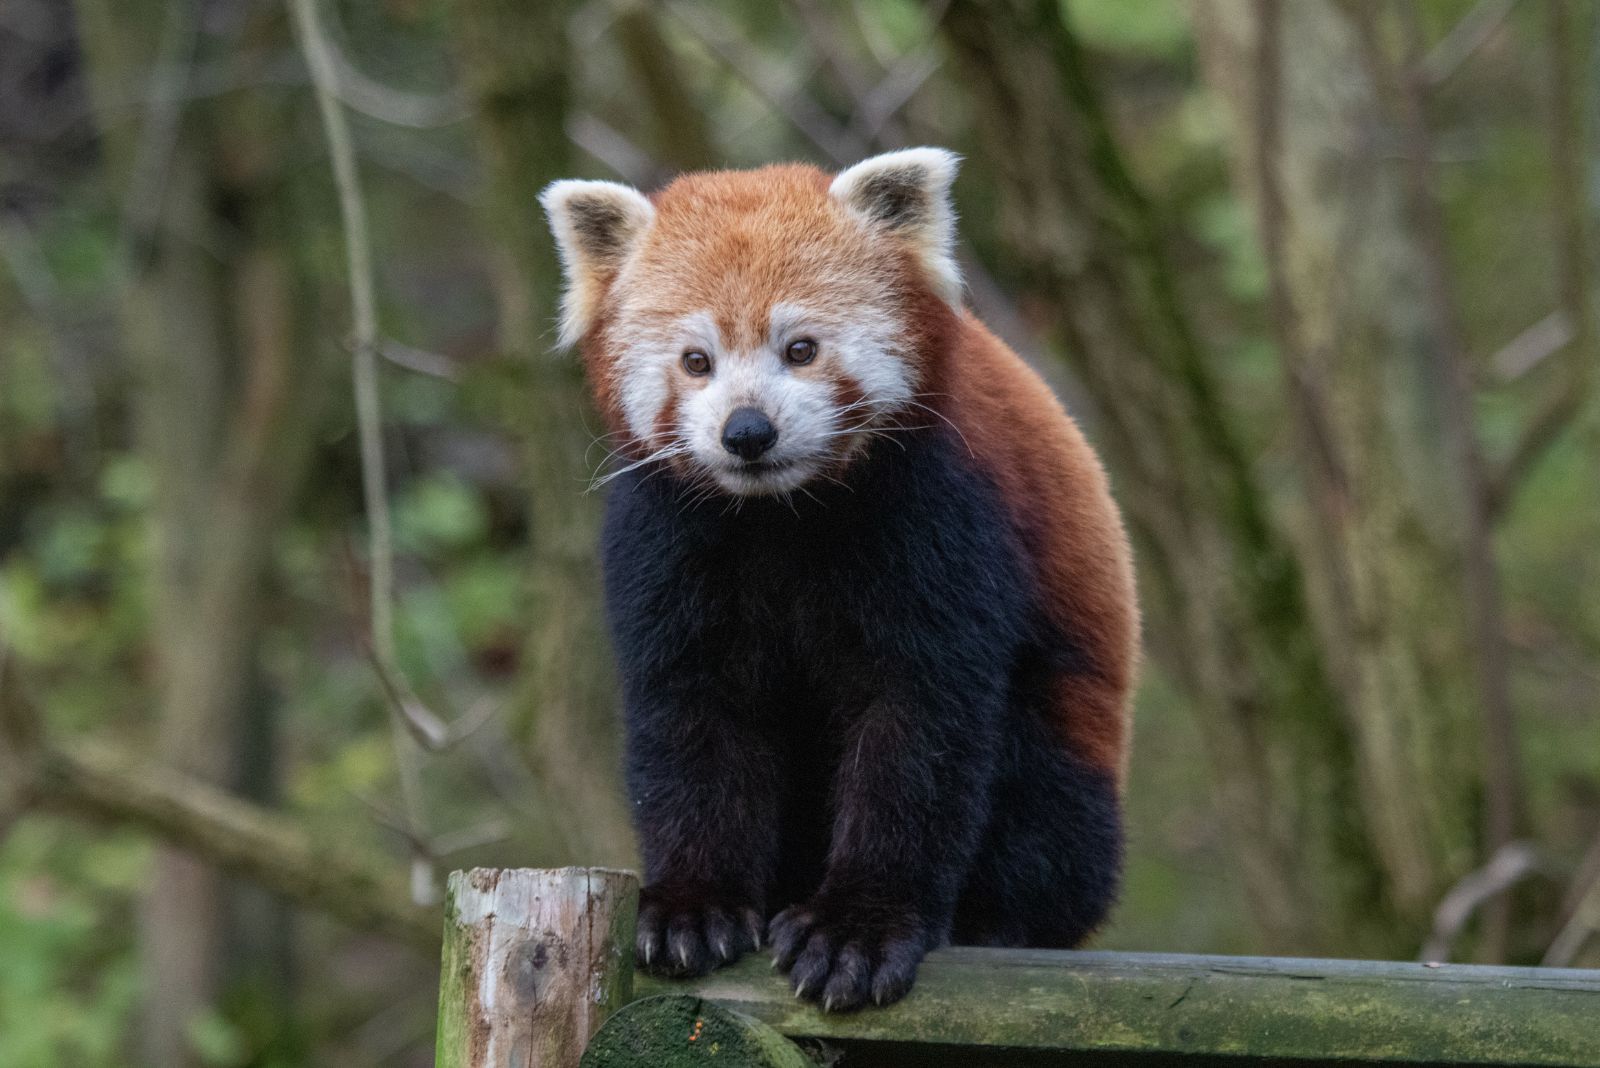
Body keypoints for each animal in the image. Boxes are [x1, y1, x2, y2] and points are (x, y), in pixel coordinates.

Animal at [547, 147, 1139, 1010]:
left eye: (801, 349)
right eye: (696, 361)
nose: (747, 431)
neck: (782, 517)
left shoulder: (942, 517)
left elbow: (918, 728)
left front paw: (858, 928)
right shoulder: (665, 541)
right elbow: (693, 718)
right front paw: (693, 906)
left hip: (1066, 739)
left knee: (1044, 802)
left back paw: (997, 920)